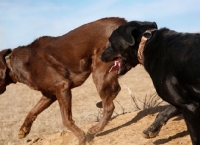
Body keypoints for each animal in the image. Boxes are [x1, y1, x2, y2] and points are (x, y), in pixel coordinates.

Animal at [0, 17, 128, 144]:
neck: (11, 65)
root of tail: (122, 22)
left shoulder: (62, 87)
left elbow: (66, 119)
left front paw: (82, 138)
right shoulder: (49, 95)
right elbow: (33, 111)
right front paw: (24, 130)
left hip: (100, 73)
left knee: (109, 106)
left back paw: (95, 129)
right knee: (115, 91)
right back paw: (100, 104)